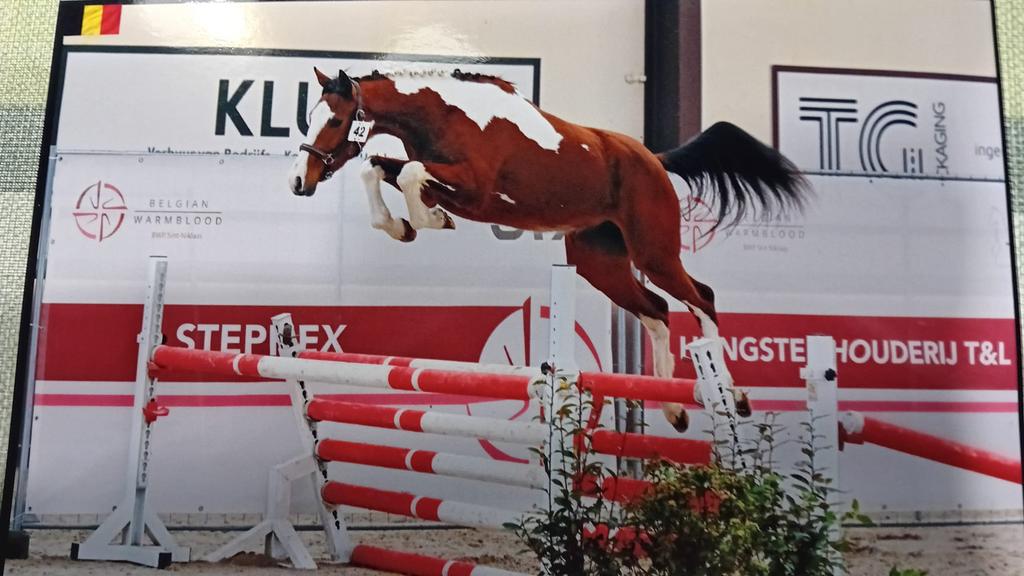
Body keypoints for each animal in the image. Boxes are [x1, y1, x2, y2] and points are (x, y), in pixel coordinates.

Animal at [288, 67, 808, 432]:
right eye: (309, 119)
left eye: (334, 120)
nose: (299, 182)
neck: (448, 116)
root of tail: (655, 160)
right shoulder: (436, 176)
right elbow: (375, 167)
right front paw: (401, 226)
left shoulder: (474, 190)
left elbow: (411, 174)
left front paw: (429, 220)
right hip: (598, 262)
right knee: (657, 309)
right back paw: (672, 408)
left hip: (654, 252)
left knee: (700, 298)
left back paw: (731, 395)